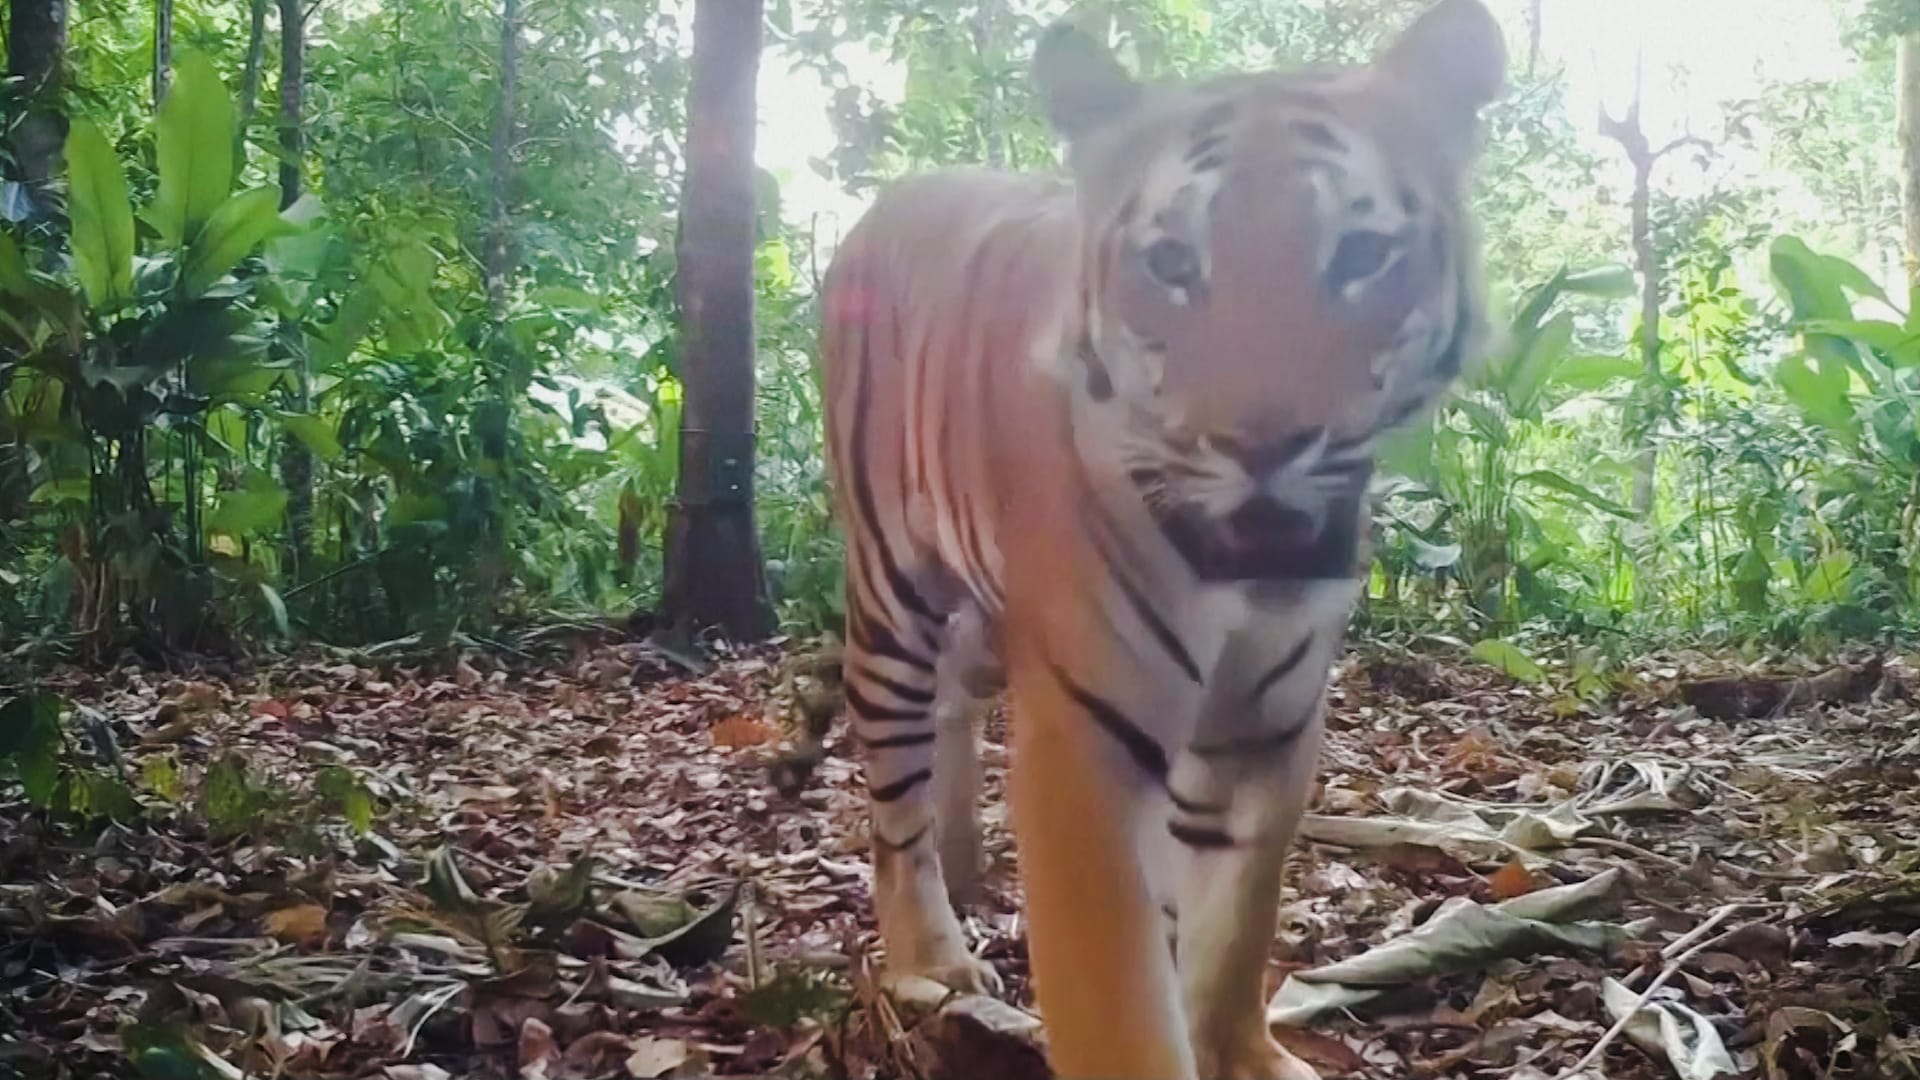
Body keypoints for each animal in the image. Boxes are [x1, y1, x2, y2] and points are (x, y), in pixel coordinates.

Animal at [810, 4, 1497, 1068]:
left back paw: (967, 864)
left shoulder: (1268, 730)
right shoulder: (1083, 752)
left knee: (955, 706)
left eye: (1360, 254)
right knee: (893, 793)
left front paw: (1245, 1055)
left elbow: (1233, 931)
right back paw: (933, 955)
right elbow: (1119, 1008)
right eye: (1172, 263)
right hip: (891, 588)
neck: (1244, 588)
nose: (1261, 442)